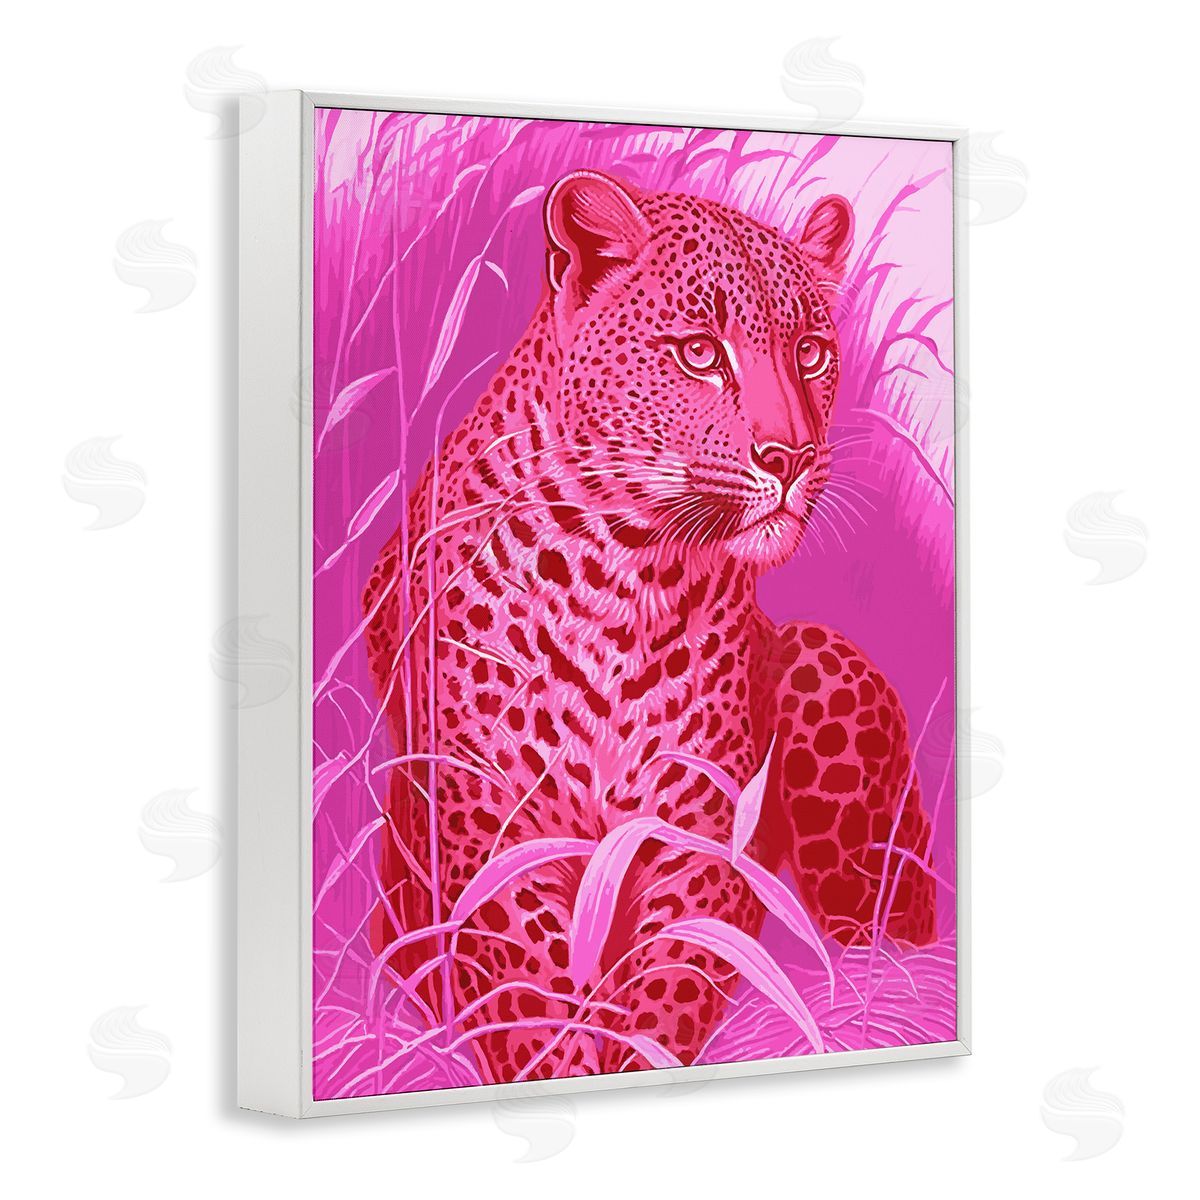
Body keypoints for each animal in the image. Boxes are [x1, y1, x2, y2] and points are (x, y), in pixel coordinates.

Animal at [362, 168, 937, 1085]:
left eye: (810, 353)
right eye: (699, 353)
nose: (792, 458)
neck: (619, 574)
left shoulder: (698, 830)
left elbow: (669, 985)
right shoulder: (488, 829)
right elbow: (535, 1007)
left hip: (821, 664)